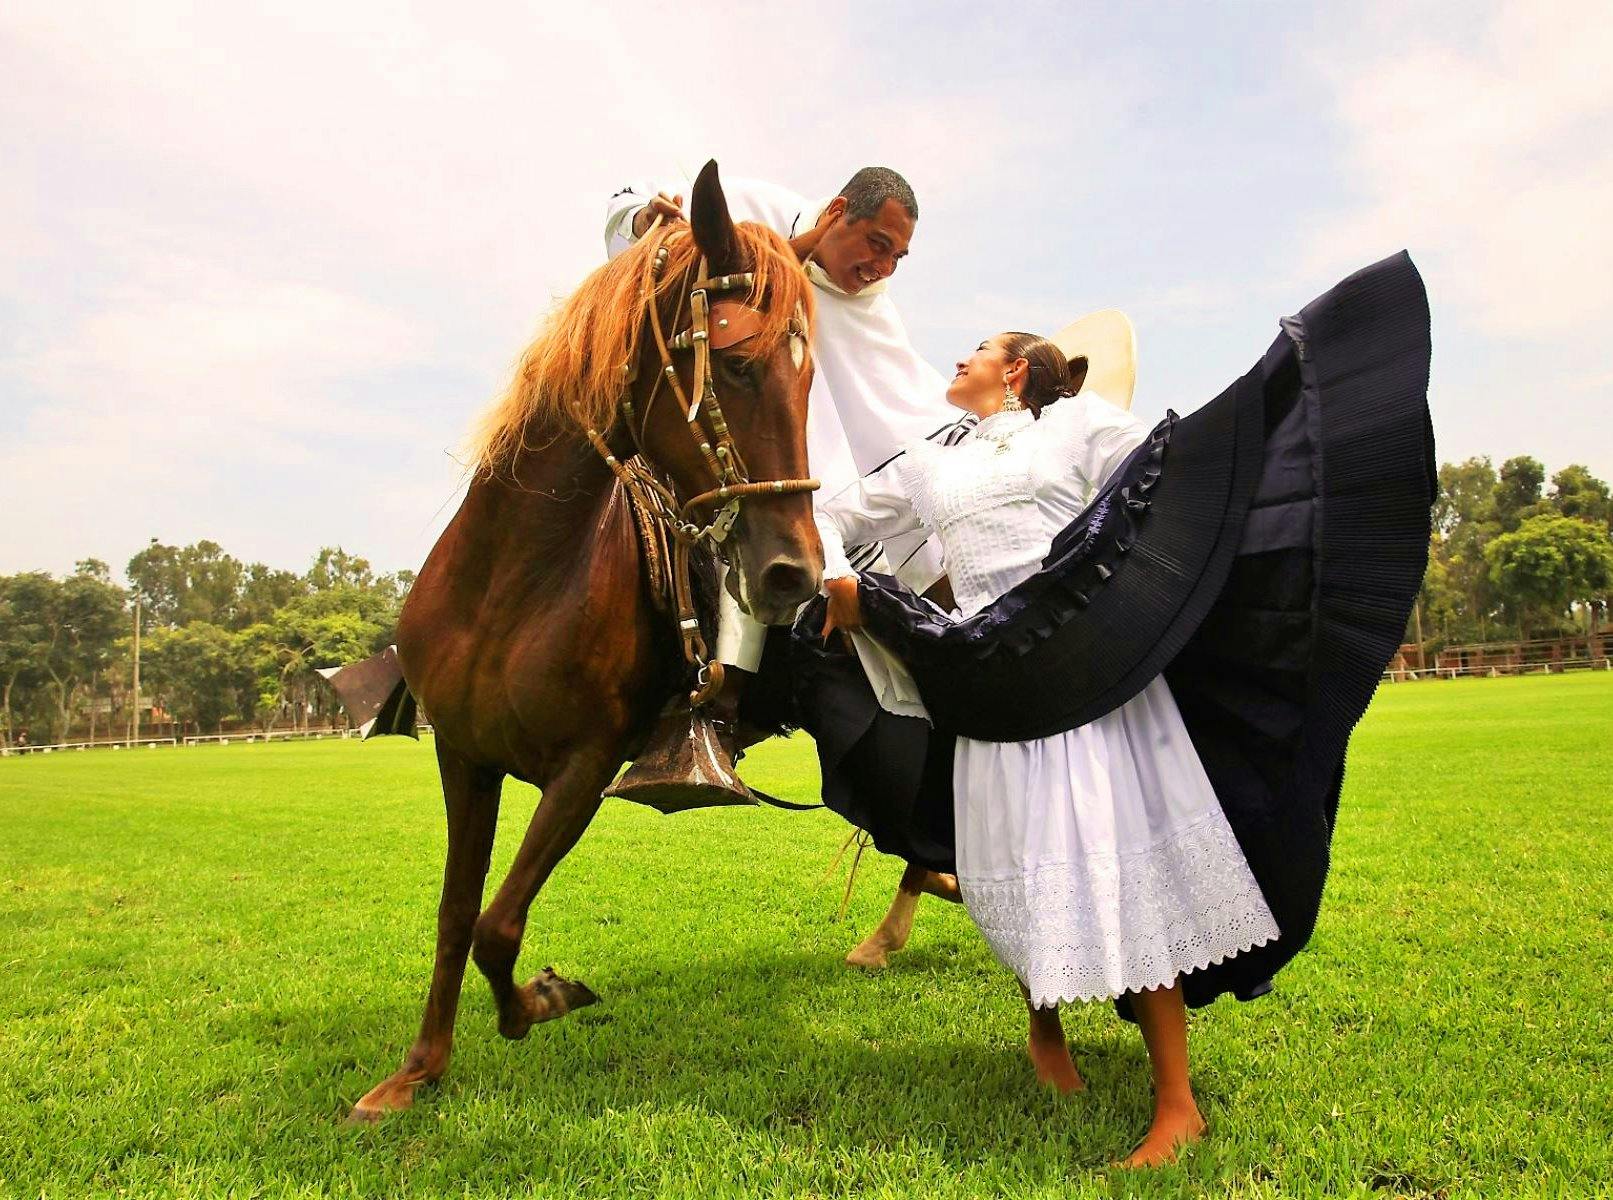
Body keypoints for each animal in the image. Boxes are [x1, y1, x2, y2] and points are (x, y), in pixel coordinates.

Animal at [351, 162, 819, 1122]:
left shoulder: (585, 767)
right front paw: (420, 1068)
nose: (796, 573)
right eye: (739, 365)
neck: (511, 580)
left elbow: (499, 925)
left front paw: (542, 999)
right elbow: (457, 913)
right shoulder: (463, 756)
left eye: (810, 379)